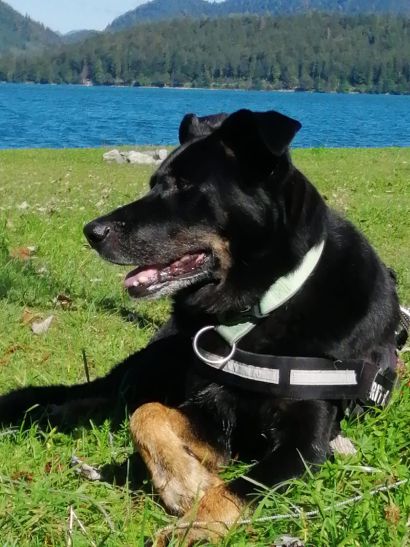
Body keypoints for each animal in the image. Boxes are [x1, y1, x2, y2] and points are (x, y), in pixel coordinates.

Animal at [0, 109, 401, 545]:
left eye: (184, 187)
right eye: (154, 184)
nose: (92, 232)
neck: (258, 309)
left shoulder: (305, 441)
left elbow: (238, 486)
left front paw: (196, 522)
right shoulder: (210, 409)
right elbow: (148, 415)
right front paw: (185, 482)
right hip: (163, 358)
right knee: (114, 392)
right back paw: (50, 410)